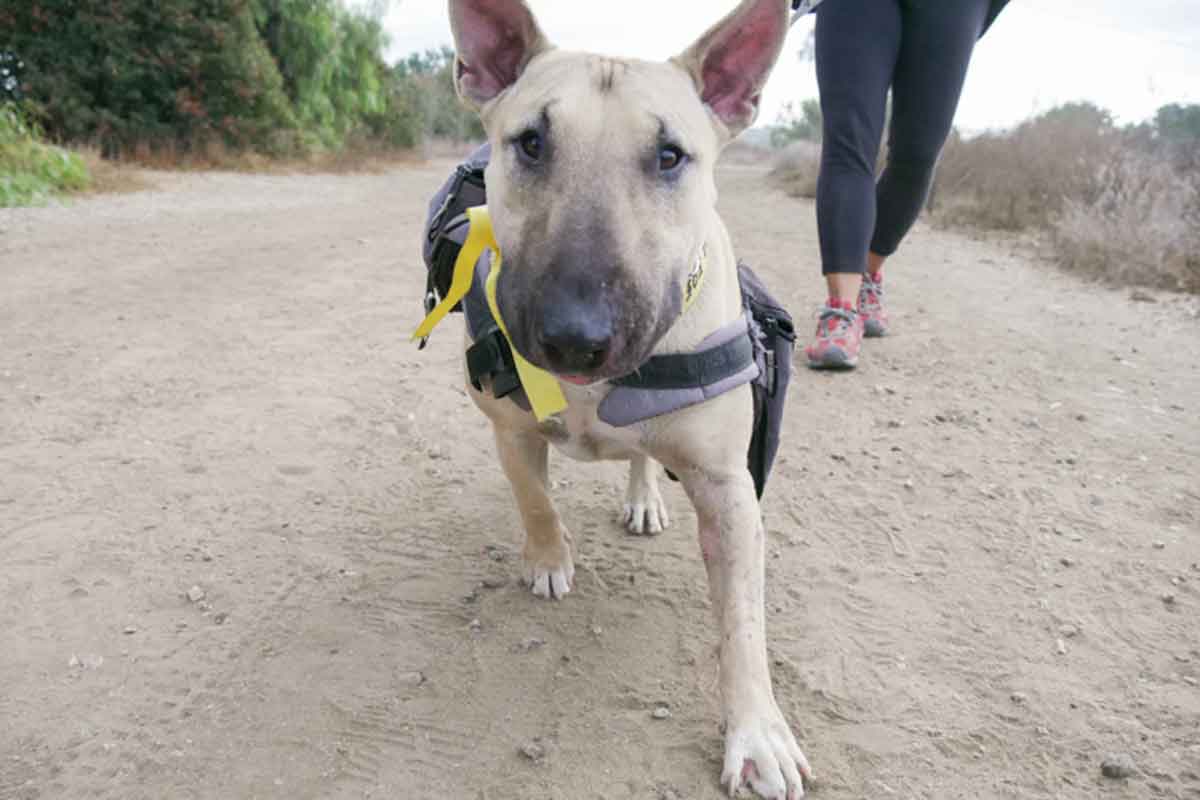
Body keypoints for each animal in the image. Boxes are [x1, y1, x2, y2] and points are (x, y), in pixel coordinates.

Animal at [451, 0, 816, 796]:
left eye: (670, 156)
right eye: (530, 142)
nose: (574, 337)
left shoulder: (729, 489)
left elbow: (743, 622)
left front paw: (757, 733)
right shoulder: (508, 427)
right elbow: (534, 497)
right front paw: (549, 558)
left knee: (645, 456)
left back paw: (645, 497)